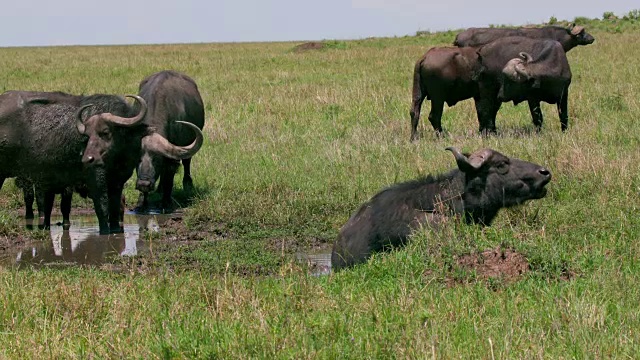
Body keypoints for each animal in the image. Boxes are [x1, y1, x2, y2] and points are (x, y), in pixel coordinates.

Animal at [0, 89, 141, 231]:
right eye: (87, 136)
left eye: (106, 132)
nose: (88, 158)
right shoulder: (94, 181)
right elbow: (102, 208)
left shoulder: (118, 182)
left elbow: (114, 210)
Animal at [132, 69, 205, 212]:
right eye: (137, 159)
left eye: (156, 159)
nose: (144, 183)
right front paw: (141, 203)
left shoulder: (172, 158)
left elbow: (169, 178)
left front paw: (165, 203)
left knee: (187, 162)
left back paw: (187, 184)